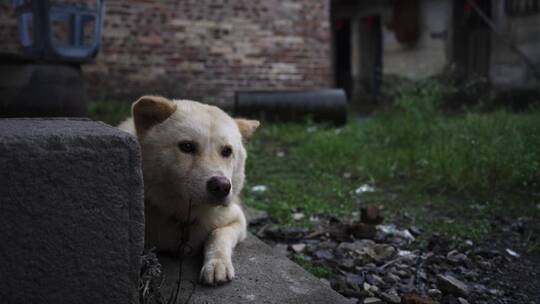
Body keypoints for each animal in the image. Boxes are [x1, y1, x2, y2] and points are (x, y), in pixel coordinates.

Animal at [119, 97, 258, 284]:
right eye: (186, 146)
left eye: (227, 151)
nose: (221, 186)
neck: (183, 219)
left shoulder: (236, 220)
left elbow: (218, 235)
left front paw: (217, 263)